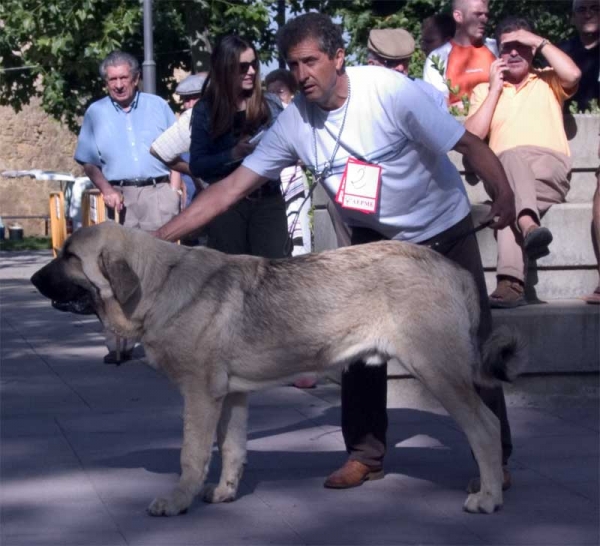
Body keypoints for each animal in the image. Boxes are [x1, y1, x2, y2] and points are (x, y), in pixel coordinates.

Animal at [30, 221, 524, 516]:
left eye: (70, 257)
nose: (33, 279)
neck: (159, 284)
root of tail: (455, 270)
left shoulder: (200, 396)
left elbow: (191, 455)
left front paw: (177, 500)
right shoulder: (231, 396)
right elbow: (231, 449)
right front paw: (225, 492)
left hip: (438, 372)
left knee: (484, 427)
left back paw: (488, 496)